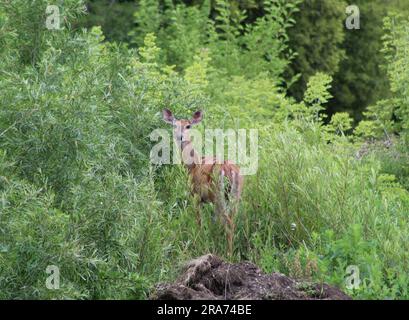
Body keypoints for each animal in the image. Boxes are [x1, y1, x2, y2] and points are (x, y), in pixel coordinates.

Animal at [162, 109, 242, 256]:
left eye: (188, 126)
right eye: (174, 125)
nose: (180, 137)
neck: (192, 166)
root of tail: (229, 169)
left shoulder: (196, 195)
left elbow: (199, 222)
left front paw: (200, 243)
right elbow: (214, 222)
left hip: (219, 195)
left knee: (228, 222)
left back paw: (228, 254)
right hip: (235, 196)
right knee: (232, 220)